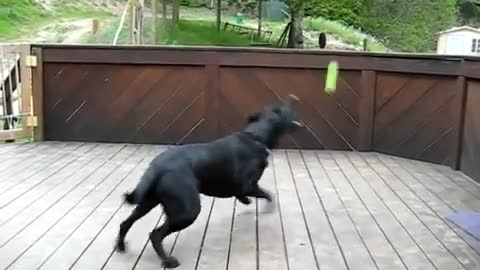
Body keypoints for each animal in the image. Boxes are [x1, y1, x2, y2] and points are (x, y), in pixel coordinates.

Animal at [115, 94, 300, 268]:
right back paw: (168, 261)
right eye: (282, 108)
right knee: (155, 234)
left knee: (125, 223)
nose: (293, 99)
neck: (256, 136)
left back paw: (121, 247)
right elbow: (268, 194)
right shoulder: (248, 185)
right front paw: (265, 206)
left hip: (147, 201)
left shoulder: (242, 187)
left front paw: (246, 201)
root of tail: (157, 167)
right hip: (188, 210)